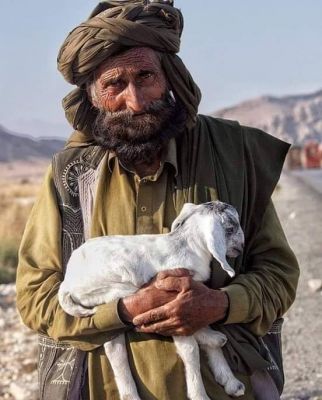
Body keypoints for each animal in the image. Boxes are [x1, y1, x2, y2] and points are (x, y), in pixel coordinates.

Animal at [58, 202, 244, 398]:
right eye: (231, 228)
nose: (241, 246)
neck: (187, 246)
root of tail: (66, 283)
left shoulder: (194, 301)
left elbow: (202, 321)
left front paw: (231, 381)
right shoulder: (177, 307)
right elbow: (190, 350)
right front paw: (199, 395)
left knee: (114, 347)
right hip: (118, 290)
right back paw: (213, 338)